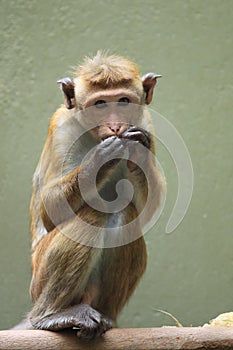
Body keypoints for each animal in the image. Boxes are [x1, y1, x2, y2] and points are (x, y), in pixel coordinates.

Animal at [22, 52, 164, 340]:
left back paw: (105, 317)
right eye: (99, 104)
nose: (115, 126)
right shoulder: (62, 128)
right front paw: (100, 160)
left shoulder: (146, 123)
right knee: (94, 212)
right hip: (38, 279)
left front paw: (138, 150)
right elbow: (49, 210)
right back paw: (50, 316)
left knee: (125, 212)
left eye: (123, 101)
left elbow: (144, 211)